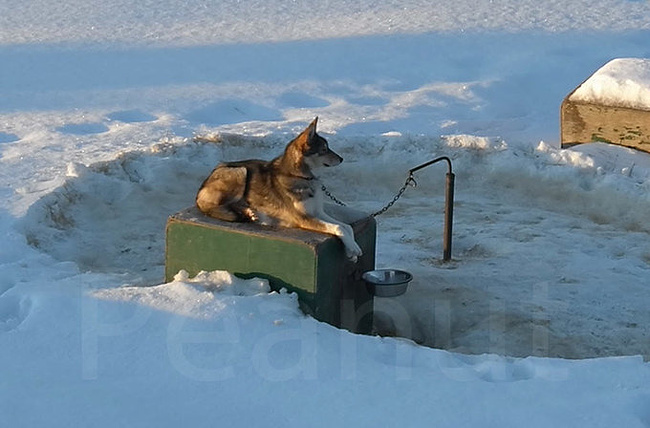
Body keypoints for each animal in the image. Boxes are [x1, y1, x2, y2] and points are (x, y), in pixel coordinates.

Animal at [195, 117, 362, 260]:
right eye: (324, 149)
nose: (341, 159)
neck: (302, 177)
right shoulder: (303, 218)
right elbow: (338, 228)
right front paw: (353, 248)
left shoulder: (318, 212)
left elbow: (346, 226)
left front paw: (351, 248)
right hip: (240, 172)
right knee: (215, 206)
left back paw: (249, 212)